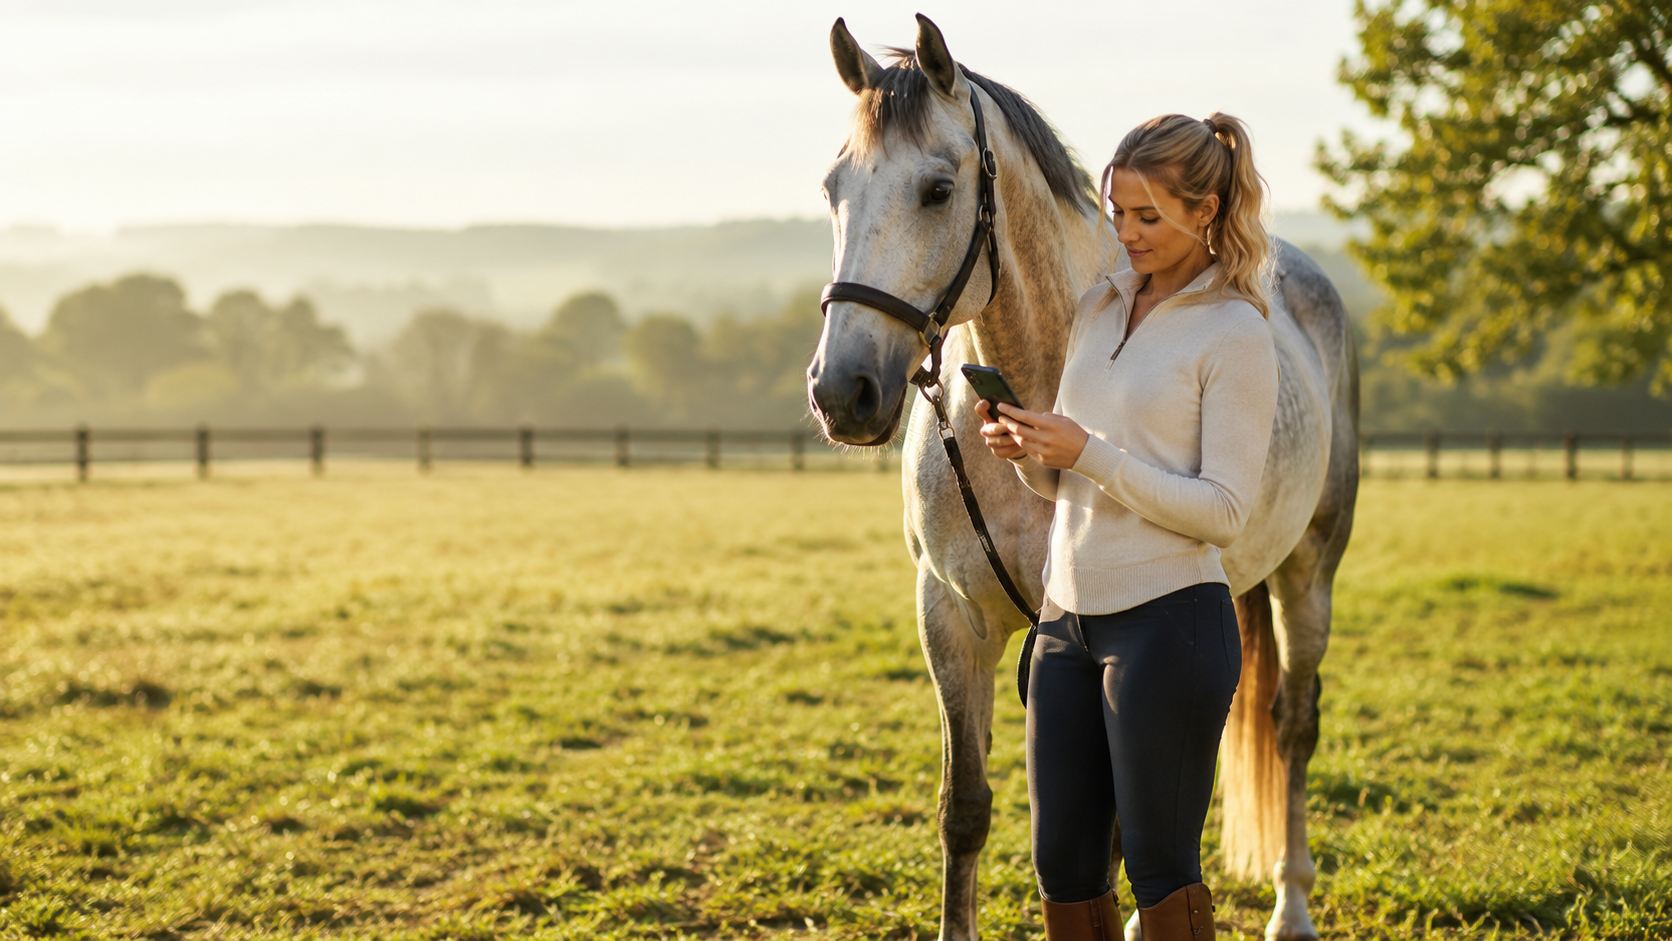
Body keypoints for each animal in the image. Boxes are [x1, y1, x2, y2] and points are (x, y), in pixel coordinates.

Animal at [805, 15, 1359, 941]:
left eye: (937, 190)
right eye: (832, 188)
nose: (841, 391)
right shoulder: (950, 619)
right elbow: (967, 808)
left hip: (1309, 572)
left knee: (1292, 725)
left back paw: (1291, 905)